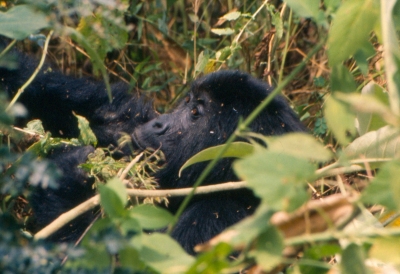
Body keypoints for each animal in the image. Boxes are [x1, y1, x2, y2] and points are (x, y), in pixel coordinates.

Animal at [0, 45, 306, 255]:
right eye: (187, 102)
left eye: (195, 113)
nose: (159, 123)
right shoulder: (129, 127)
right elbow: (100, 111)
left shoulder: (216, 219)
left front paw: (68, 174)